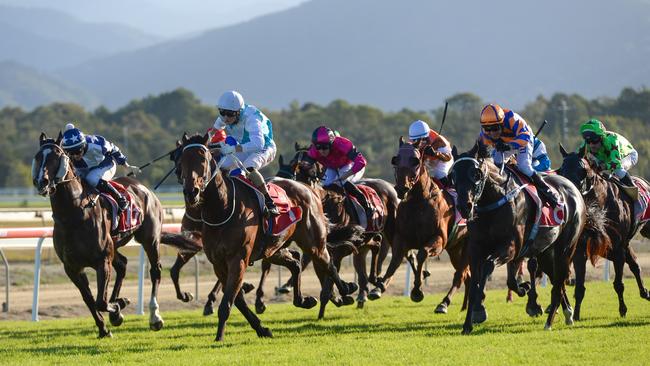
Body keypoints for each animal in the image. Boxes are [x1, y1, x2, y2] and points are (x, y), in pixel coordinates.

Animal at [32, 133, 166, 338]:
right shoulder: (72, 268)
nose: (42, 182)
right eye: (38, 156)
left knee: (155, 271)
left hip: (150, 239)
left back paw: (154, 317)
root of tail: (144, 188)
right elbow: (89, 300)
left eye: (57, 155)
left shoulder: (102, 260)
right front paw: (105, 327)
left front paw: (117, 308)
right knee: (122, 265)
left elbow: (100, 301)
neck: (73, 215)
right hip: (115, 246)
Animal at [178, 134, 354, 340]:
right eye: (181, 161)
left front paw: (219, 336)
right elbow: (237, 300)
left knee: (328, 263)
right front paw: (261, 328)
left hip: (313, 242)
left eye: (203, 159)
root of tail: (308, 189)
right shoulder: (218, 263)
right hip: (273, 248)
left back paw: (346, 290)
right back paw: (303, 300)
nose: (191, 192)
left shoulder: (238, 259)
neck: (222, 209)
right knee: (295, 261)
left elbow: (229, 301)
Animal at [368, 139, 468, 314]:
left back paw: (444, 303)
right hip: (455, 248)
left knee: (460, 274)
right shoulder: (401, 238)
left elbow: (422, 254)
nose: (401, 188)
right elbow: (396, 259)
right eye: (396, 159)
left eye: (415, 160)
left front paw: (417, 291)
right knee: (466, 274)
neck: (418, 202)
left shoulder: (439, 239)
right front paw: (379, 288)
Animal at [448, 143, 584, 334]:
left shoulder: (511, 247)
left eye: (476, 173)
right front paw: (468, 324)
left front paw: (479, 310)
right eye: (452, 175)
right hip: (545, 252)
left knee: (559, 281)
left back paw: (549, 322)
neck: (493, 202)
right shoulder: (476, 249)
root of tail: (574, 189)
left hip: (565, 248)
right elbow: (480, 281)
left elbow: (489, 267)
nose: (464, 207)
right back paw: (567, 312)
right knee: (555, 277)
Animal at [556, 146, 648, 320]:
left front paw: (623, 310)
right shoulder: (581, 250)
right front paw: (576, 315)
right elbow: (579, 287)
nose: (570, 196)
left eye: (583, 170)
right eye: (561, 171)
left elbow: (619, 284)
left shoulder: (617, 249)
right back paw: (645, 293)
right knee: (634, 264)